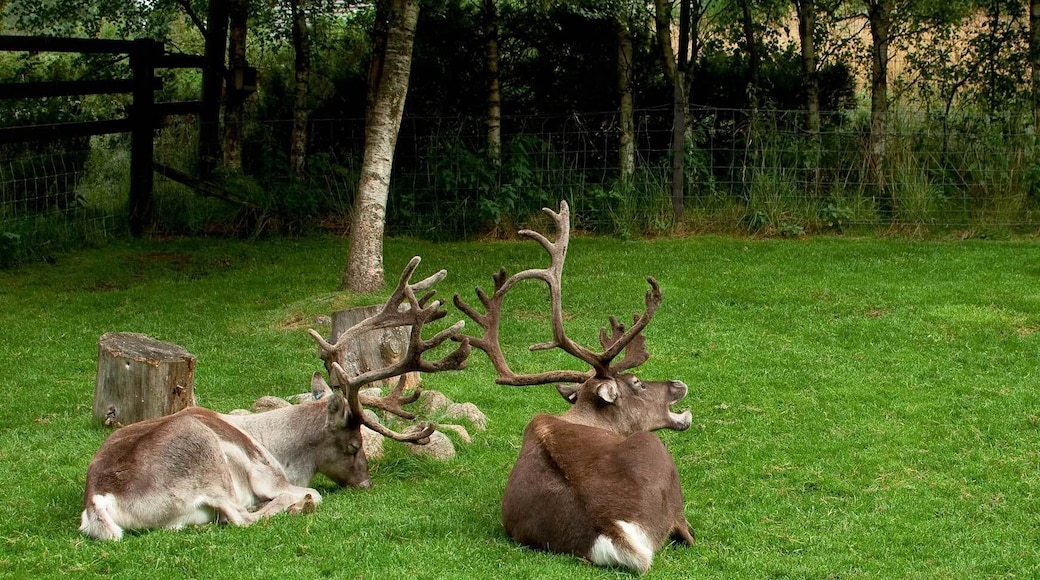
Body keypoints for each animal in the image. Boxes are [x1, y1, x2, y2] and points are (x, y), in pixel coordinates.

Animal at [80, 257, 470, 541]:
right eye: (354, 445)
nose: (366, 484)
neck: (279, 448)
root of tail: (97, 500)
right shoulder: (268, 476)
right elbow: (300, 492)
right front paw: (302, 499)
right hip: (208, 463)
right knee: (242, 518)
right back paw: (298, 506)